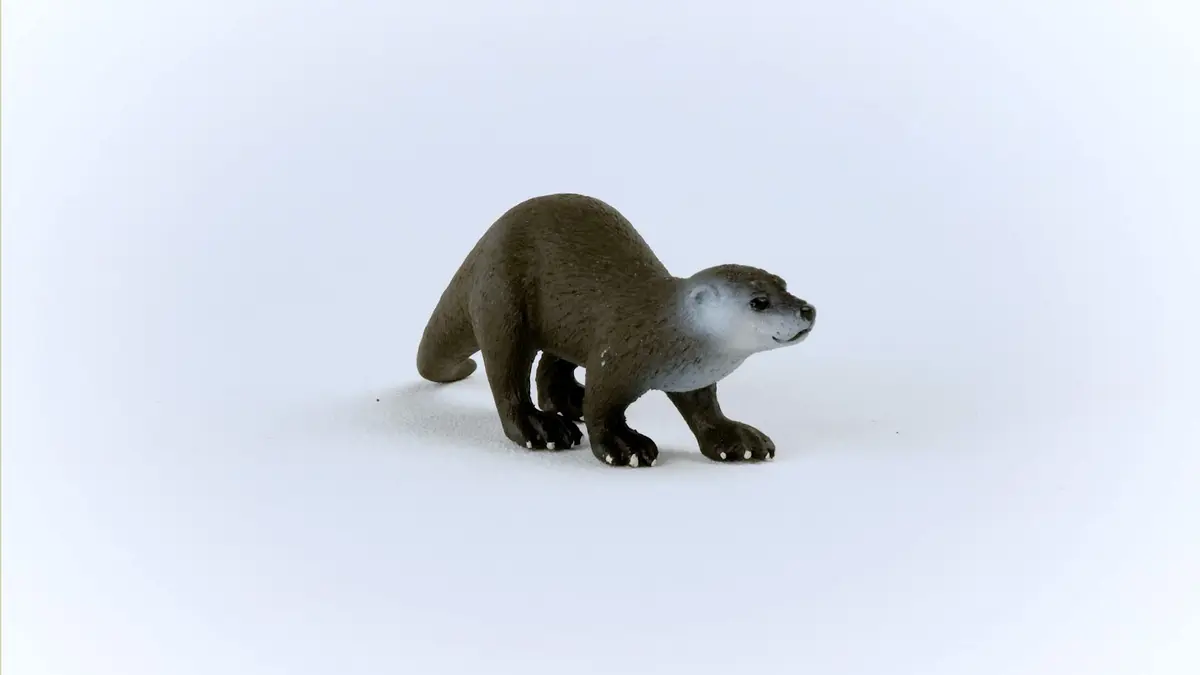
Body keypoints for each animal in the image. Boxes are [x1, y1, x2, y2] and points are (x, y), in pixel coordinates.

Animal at [416, 193, 816, 467]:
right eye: (759, 302)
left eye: (783, 284)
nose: (807, 310)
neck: (666, 329)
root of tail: (481, 245)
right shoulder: (617, 352)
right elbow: (602, 405)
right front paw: (624, 446)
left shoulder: (692, 377)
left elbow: (703, 407)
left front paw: (736, 438)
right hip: (501, 300)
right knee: (507, 375)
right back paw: (540, 427)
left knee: (552, 363)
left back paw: (567, 401)